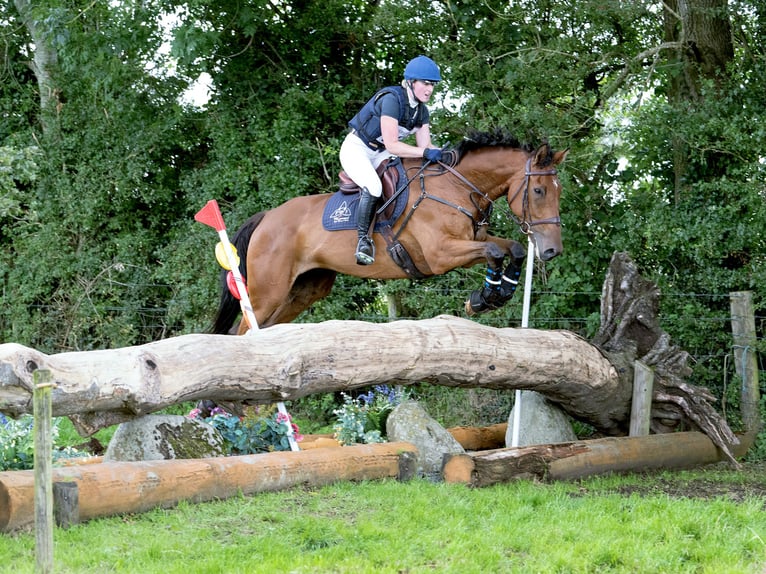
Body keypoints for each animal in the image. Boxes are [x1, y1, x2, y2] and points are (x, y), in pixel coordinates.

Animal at [213, 131, 568, 336]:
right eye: (538, 190)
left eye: (558, 190)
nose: (552, 251)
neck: (454, 186)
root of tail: (266, 218)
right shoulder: (441, 254)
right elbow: (495, 252)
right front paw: (483, 298)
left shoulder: (470, 244)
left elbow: (512, 249)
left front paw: (495, 294)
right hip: (267, 292)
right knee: (244, 330)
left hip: (303, 290)